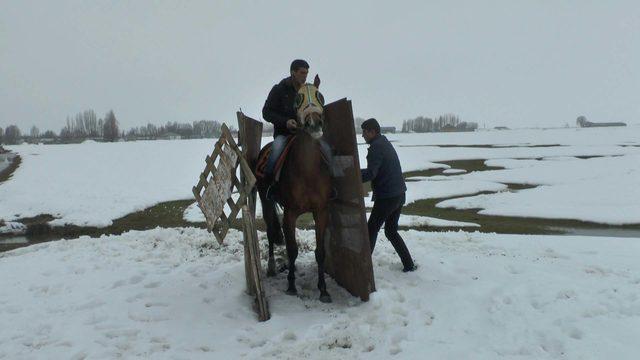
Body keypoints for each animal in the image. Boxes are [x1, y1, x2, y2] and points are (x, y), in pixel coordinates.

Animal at [255, 84, 336, 304]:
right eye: (297, 99)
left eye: (320, 96)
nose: (314, 123)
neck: (307, 170)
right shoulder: (290, 213)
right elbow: (292, 250)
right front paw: (291, 285)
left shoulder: (321, 211)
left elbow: (320, 251)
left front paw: (323, 290)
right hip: (265, 201)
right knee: (270, 231)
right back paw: (271, 267)